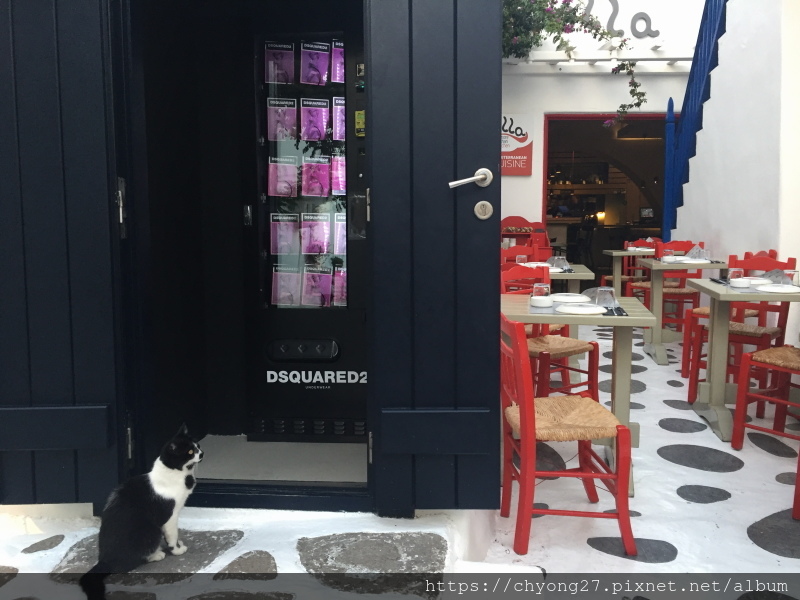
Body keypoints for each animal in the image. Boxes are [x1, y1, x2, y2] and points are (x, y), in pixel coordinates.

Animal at [79, 424, 203, 600]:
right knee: (126, 565)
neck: (177, 475)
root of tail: (104, 559)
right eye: (190, 452)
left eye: (197, 445)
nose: (202, 452)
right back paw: (157, 555)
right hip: (151, 530)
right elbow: (173, 535)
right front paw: (177, 550)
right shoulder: (171, 515)